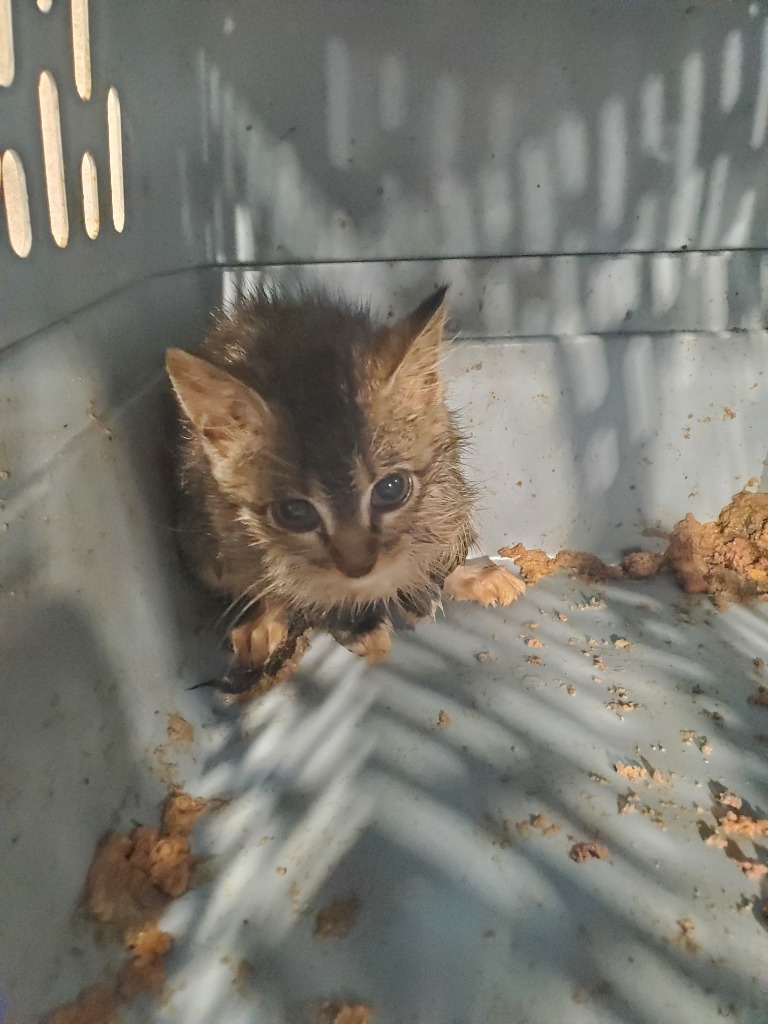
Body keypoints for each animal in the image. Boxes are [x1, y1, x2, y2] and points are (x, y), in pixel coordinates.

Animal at [162, 284, 524, 692]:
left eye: (391, 488)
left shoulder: (449, 482)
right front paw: (355, 624)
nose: (358, 566)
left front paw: (441, 581)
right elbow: (299, 589)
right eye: (295, 513)